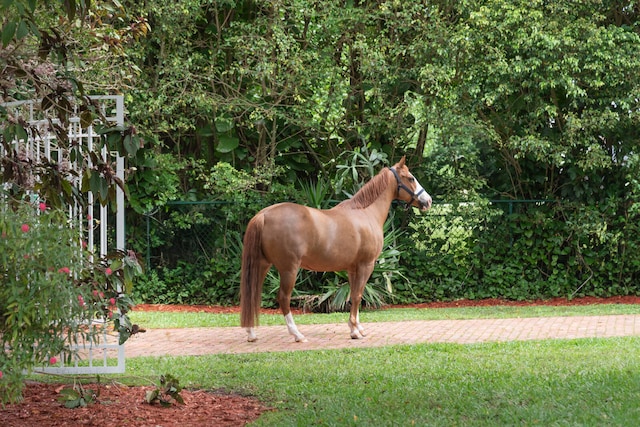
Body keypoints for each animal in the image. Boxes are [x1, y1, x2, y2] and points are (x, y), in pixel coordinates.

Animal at [241, 159, 436, 342]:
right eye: (411, 178)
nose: (428, 201)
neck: (366, 213)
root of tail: (263, 215)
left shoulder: (352, 268)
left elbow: (353, 295)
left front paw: (356, 327)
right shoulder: (366, 265)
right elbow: (358, 295)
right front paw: (355, 332)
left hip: (263, 265)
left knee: (252, 294)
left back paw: (251, 334)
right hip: (289, 269)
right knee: (283, 298)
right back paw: (297, 334)